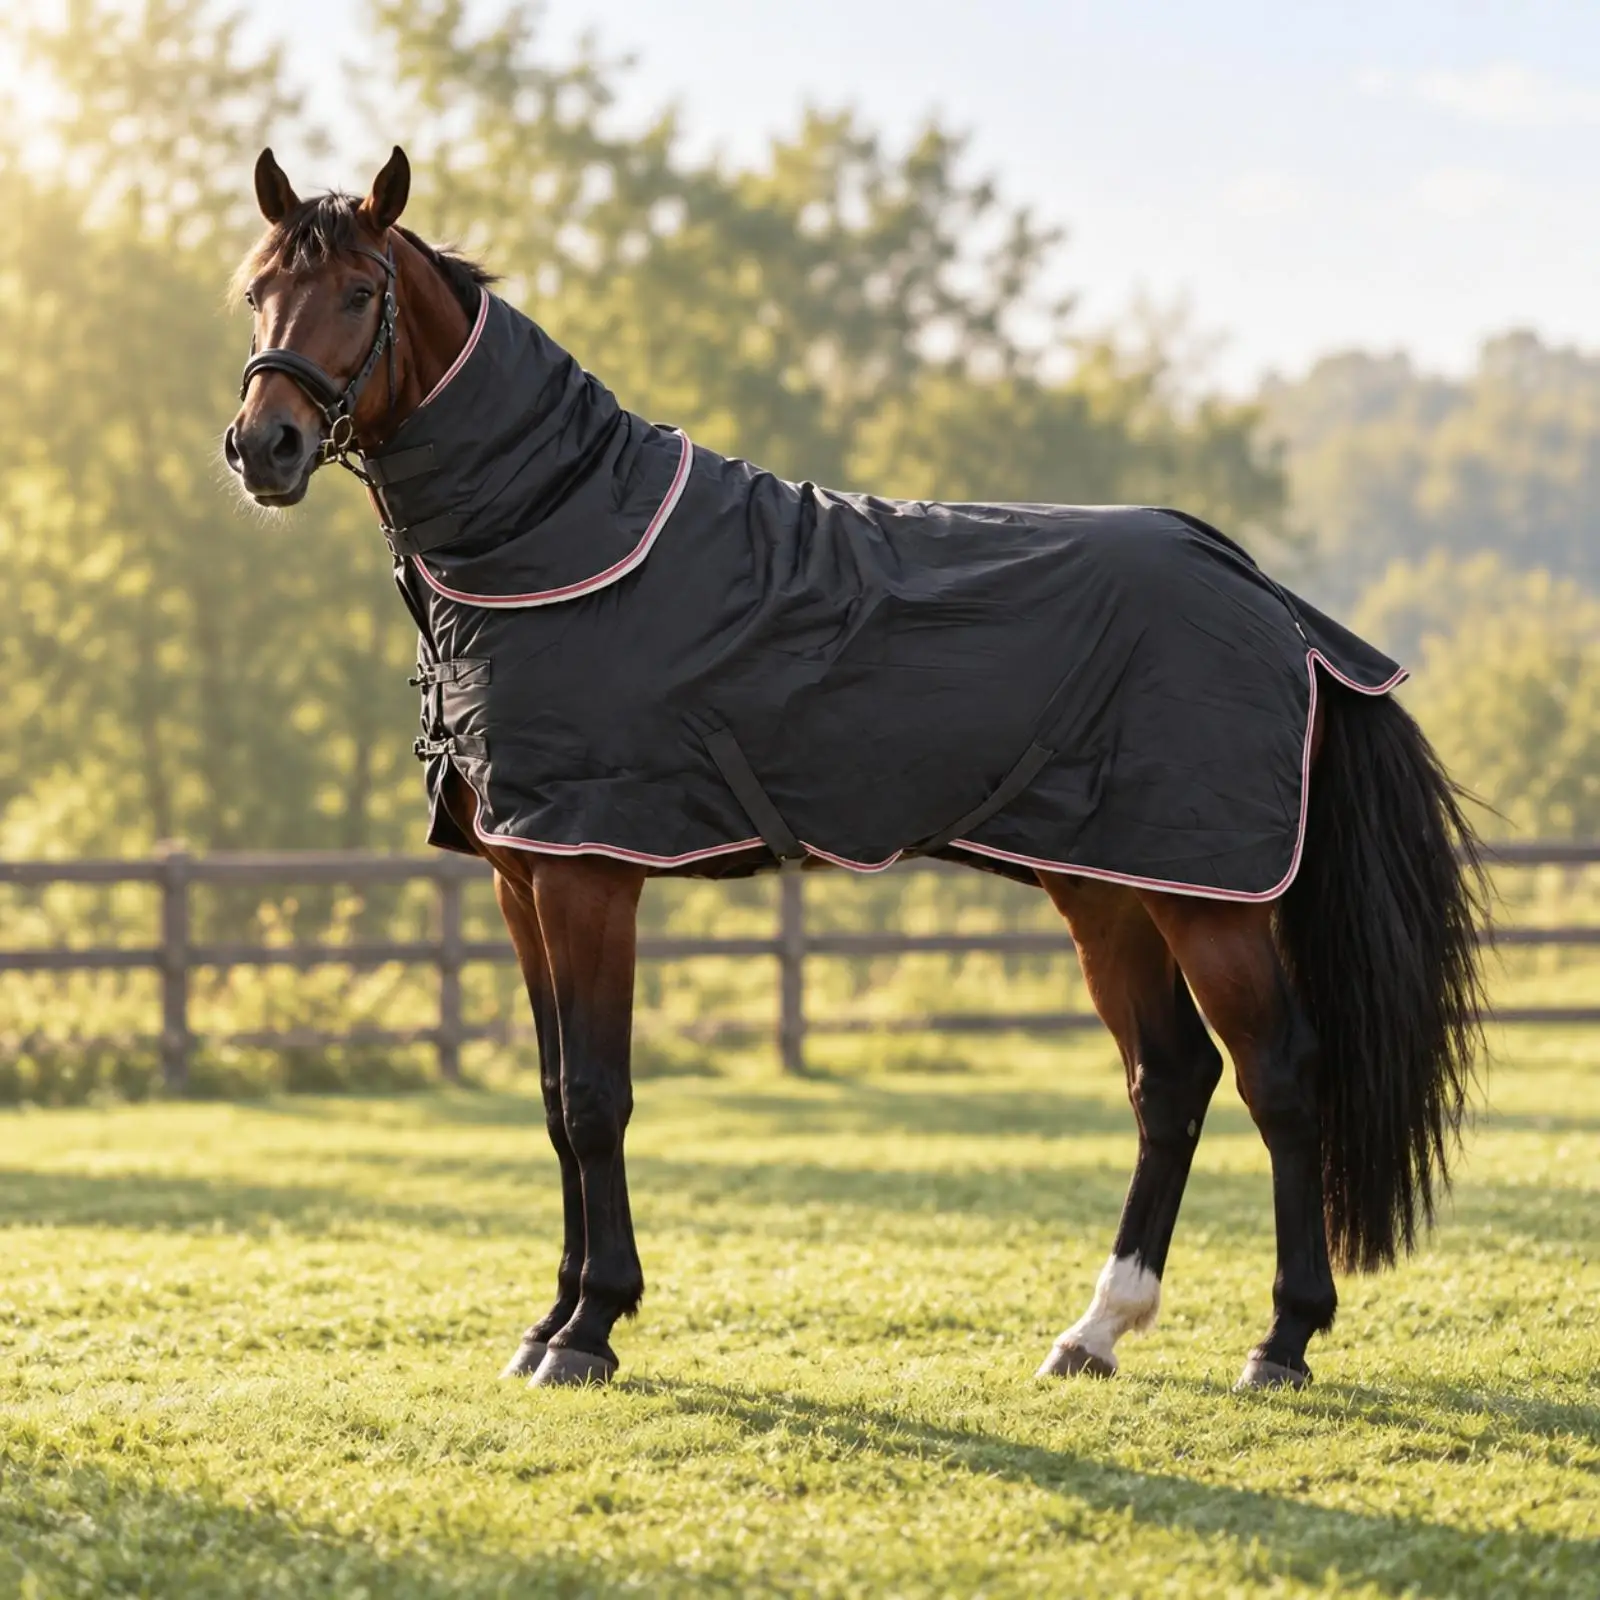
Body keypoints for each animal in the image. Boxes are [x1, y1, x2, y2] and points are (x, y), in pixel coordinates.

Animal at [225, 147, 1485, 1391]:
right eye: (255, 291)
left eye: (360, 292)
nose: (261, 448)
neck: (560, 531)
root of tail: (1270, 600)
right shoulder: (518, 879)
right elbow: (548, 1096)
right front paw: (549, 1322)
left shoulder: (588, 874)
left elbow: (595, 1097)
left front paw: (589, 1329)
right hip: (1107, 887)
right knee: (1167, 1080)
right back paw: (1095, 1330)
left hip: (1205, 899)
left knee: (1280, 1076)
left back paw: (1282, 1340)